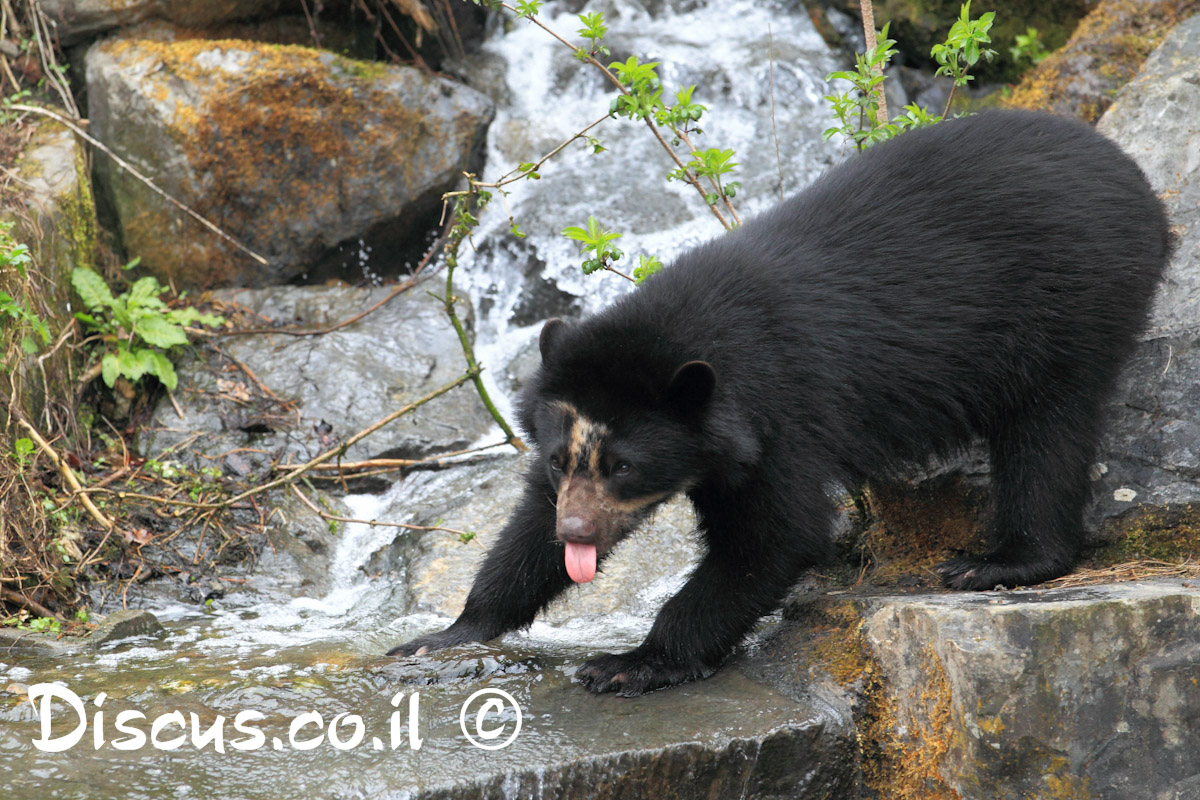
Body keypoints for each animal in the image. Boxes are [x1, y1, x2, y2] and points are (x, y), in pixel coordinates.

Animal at [391, 109, 1171, 695]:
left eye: (624, 467)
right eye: (561, 460)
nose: (576, 534)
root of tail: (1132, 175)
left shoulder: (784, 410)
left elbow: (776, 535)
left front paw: (627, 664)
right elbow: (524, 525)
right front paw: (441, 635)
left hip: (1070, 302)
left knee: (1046, 432)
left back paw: (997, 563)